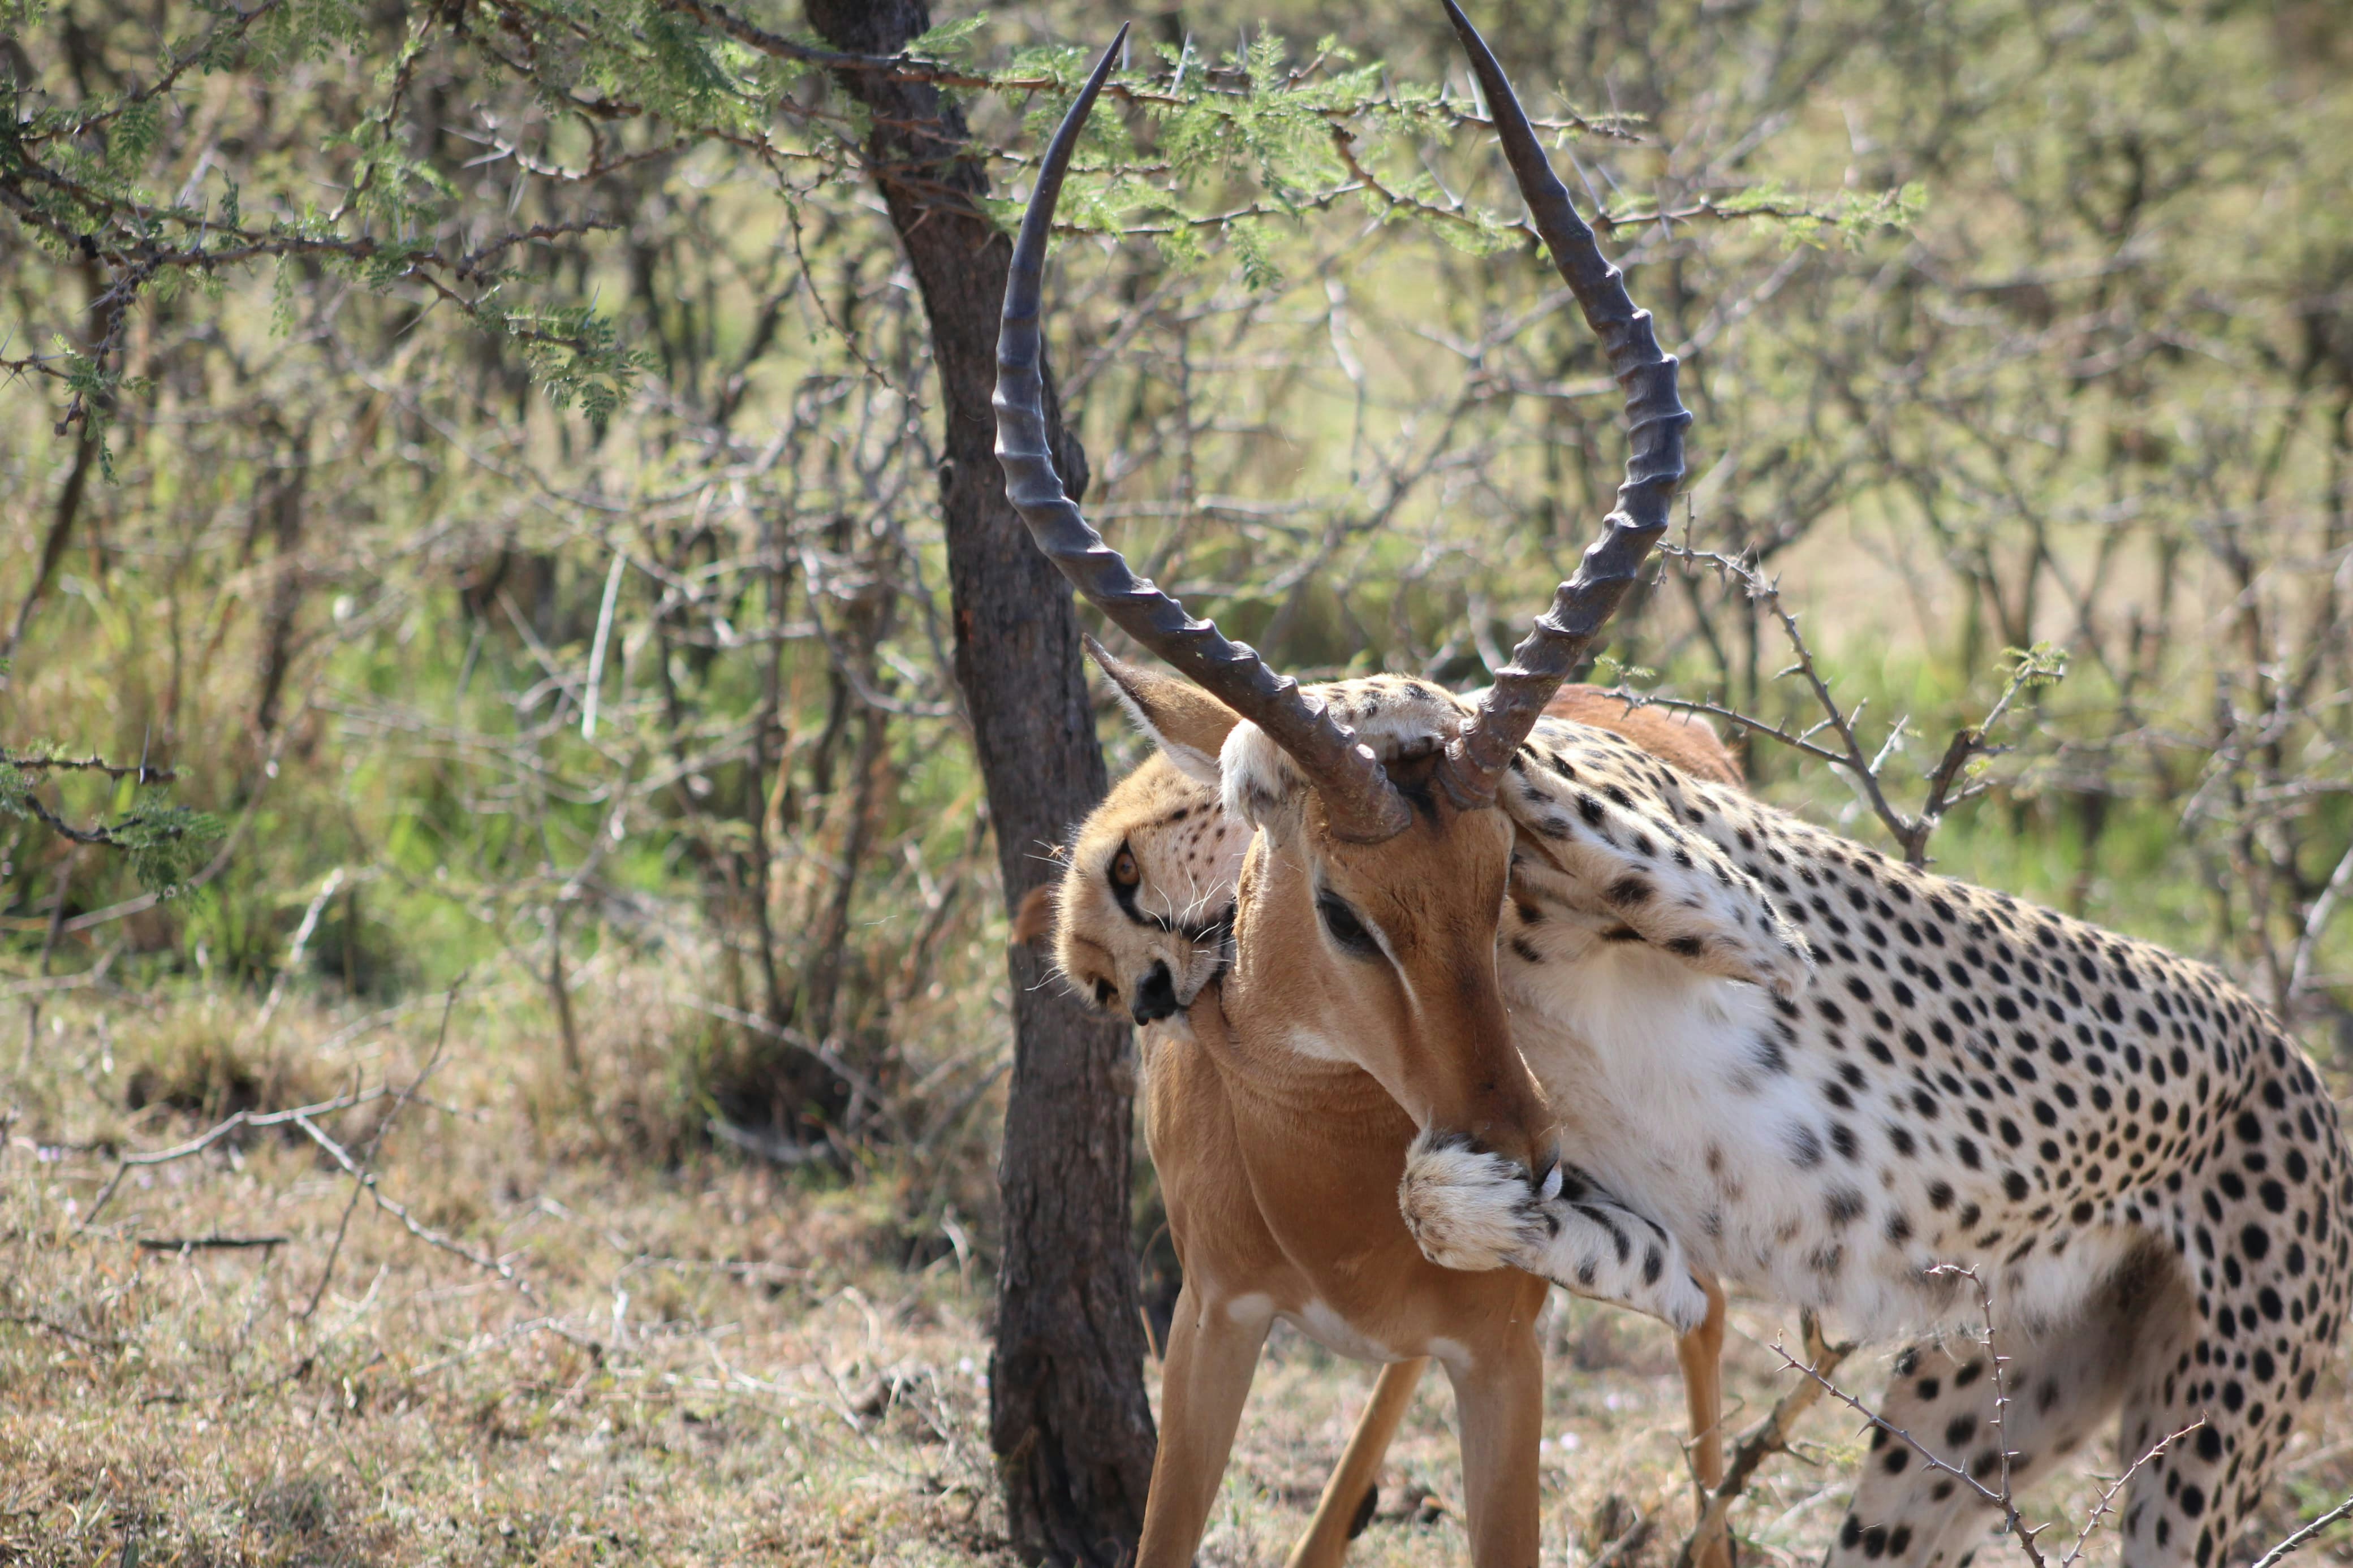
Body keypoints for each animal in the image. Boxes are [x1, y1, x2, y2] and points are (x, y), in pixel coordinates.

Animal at [995, 7, 1733, 1563]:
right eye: (1340, 906)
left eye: (1504, 883)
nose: (1522, 1148)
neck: (1324, 1164)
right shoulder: (1211, 1323)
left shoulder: (1508, 1360)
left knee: (1707, 1346)